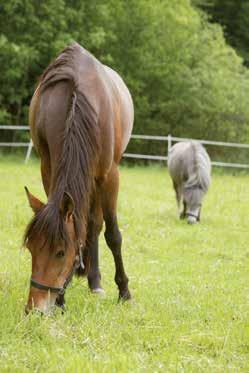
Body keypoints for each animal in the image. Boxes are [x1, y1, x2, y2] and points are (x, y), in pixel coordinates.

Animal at [23, 42, 134, 312]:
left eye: (61, 252)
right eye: (31, 248)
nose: (35, 308)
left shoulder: (109, 175)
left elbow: (113, 235)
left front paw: (124, 292)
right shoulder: (48, 167)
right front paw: (61, 298)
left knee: (95, 225)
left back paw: (96, 282)